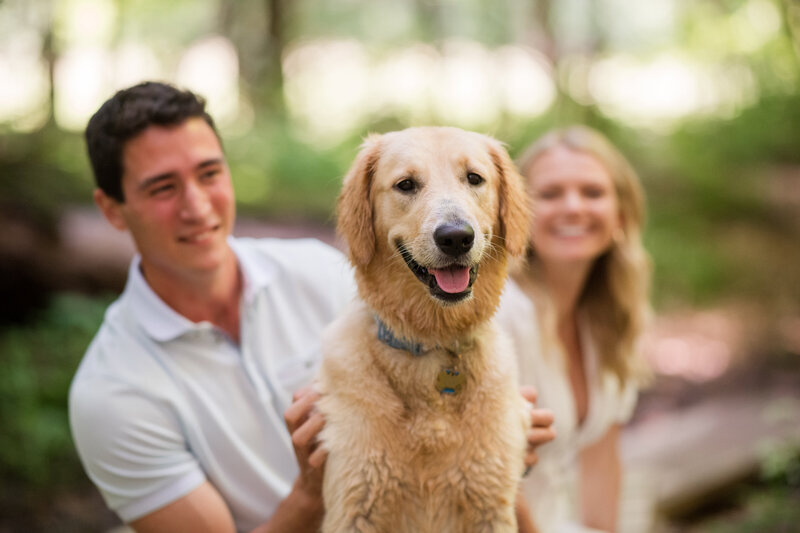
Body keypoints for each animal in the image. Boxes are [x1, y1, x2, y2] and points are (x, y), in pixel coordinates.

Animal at [318, 127, 532, 528]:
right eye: (406, 184)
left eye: (474, 178)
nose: (456, 237)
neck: (433, 342)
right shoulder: (355, 502)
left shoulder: (491, 503)